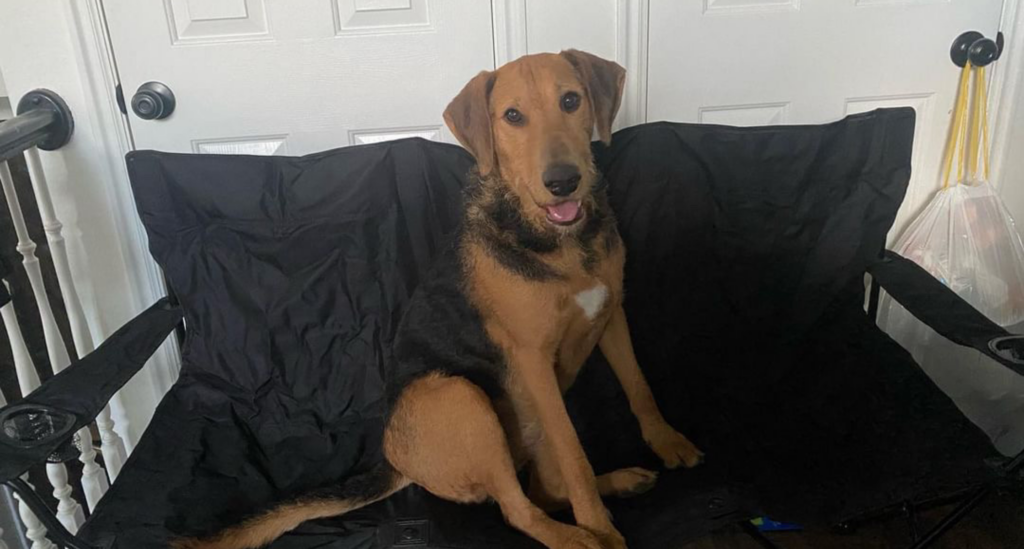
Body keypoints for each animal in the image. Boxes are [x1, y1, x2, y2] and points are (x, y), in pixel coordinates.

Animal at [178, 50, 704, 549]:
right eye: (512, 116)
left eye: (572, 101)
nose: (562, 182)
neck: (560, 243)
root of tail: (395, 461)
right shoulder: (533, 358)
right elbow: (575, 453)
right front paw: (600, 527)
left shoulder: (611, 313)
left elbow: (639, 386)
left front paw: (668, 442)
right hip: (461, 399)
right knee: (518, 508)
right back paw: (578, 536)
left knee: (544, 490)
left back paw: (619, 482)